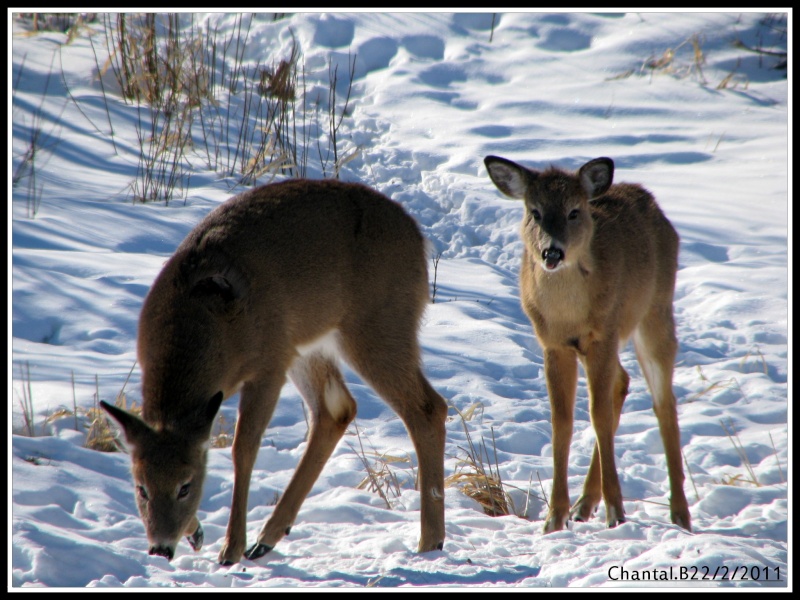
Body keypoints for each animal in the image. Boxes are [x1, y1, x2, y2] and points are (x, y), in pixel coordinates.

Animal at [101, 177, 450, 564]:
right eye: (141, 488)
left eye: (185, 486)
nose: (160, 548)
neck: (205, 324)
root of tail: (419, 237)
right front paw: (198, 534)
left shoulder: (267, 367)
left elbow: (243, 448)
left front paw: (230, 548)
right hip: (307, 344)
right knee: (338, 409)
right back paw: (267, 538)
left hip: (378, 324)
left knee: (428, 408)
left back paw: (430, 541)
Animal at [484, 155, 692, 536]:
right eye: (534, 211)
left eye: (574, 211)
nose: (552, 251)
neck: (567, 313)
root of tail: (650, 200)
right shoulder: (554, 344)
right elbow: (561, 421)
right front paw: (555, 517)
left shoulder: (603, 335)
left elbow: (597, 416)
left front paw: (616, 511)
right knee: (623, 382)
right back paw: (584, 504)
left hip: (655, 311)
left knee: (663, 402)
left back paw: (680, 513)